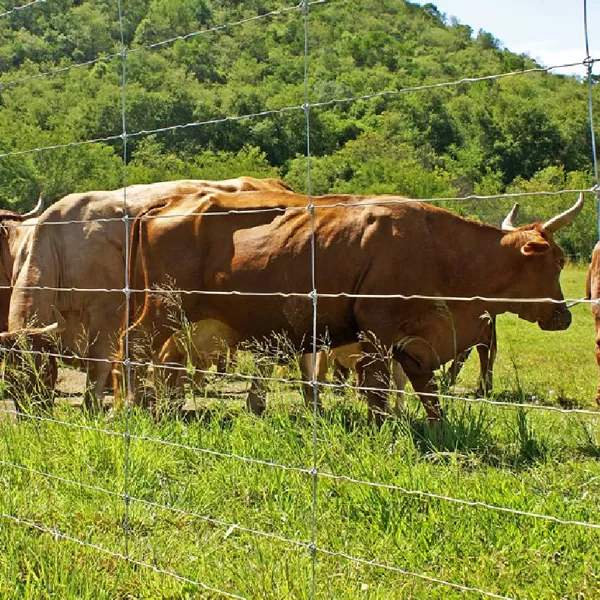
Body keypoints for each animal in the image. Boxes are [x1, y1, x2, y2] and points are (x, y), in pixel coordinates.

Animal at [117, 191, 580, 422]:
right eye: (557, 260)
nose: (565, 315)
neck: (439, 249)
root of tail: (165, 204)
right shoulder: (377, 331)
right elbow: (377, 388)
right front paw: (381, 427)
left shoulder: (414, 342)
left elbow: (427, 391)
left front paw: (437, 432)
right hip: (164, 308)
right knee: (135, 346)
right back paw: (140, 406)